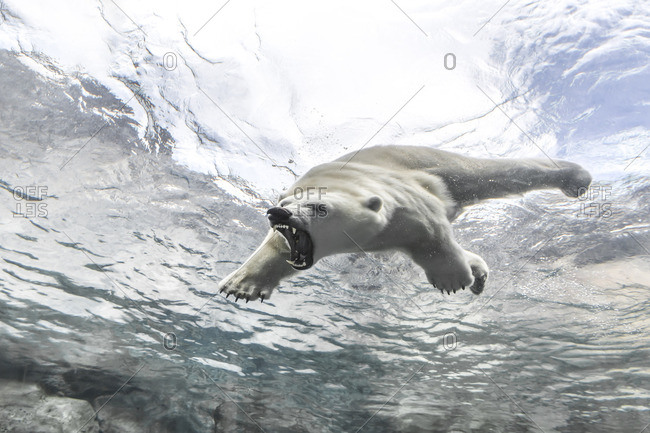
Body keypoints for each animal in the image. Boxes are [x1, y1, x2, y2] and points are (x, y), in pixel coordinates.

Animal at [217, 145, 591, 302]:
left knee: (494, 173)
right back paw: (480, 273)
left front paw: (452, 279)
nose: (277, 214)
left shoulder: (403, 200)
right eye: (284, 204)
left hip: (434, 161)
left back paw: (575, 177)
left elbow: (431, 230)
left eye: (319, 207)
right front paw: (240, 286)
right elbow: (275, 247)